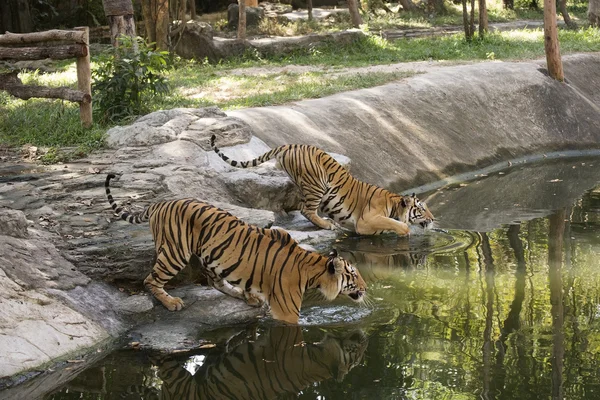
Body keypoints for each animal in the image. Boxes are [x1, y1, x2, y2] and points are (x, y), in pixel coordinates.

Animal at [104, 173, 366, 324]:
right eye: (353, 275)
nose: (365, 288)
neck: (312, 270)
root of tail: (159, 203)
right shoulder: (287, 311)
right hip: (174, 252)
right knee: (151, 280)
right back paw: (172, 303)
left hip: (210, 256)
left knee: (216, 282)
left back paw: (247, 296)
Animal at [211, 135, 436, 234]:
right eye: (421, 209)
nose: (433, 219)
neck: (395, 202)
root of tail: (290, 145)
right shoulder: (366, 221)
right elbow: (395, 224)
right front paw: (404, 229)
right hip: (317, 184)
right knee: (306, 210)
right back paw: (327, 224)